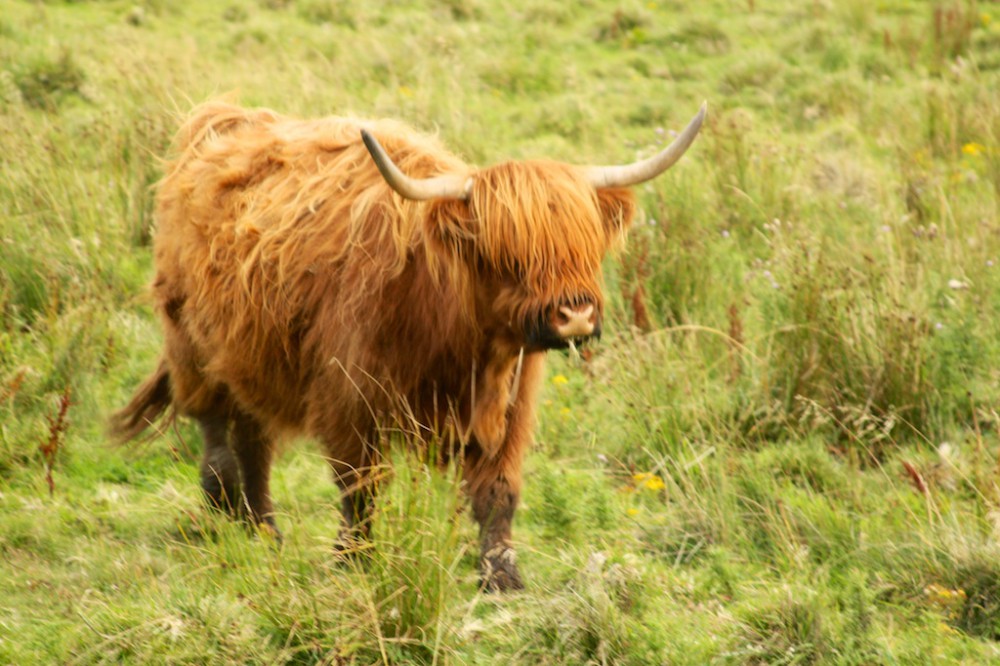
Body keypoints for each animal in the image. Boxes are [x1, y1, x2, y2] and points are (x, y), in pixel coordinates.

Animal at [113, 98, 704, 588]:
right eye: (507, 251)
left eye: (586, 242)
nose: (575, 313)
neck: (459, 342)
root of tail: (224, 119)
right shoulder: (347, 400)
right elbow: (361, 486)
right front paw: (354, 561)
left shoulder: (512, 405)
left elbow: (498, 492)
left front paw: (501, 575)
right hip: (192, 347)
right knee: (219, 442)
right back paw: (241, 523)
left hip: (252, 359)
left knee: (254, 443)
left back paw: (263, 531)